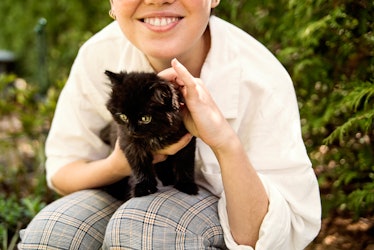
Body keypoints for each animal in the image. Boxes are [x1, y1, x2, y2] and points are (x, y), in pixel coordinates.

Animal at [99, 71, 199, 199]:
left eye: (145, 118)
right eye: (123, 116)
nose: (132, 130)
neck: (154, 136)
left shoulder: (186, 142)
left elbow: (185, 163)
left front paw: (186, 185)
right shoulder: (130, 143)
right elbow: (140, 166)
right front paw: (144, 187)